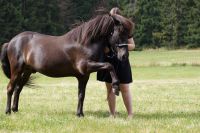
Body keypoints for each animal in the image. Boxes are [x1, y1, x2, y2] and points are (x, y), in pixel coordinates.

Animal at [0, 13, 134, 116]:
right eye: (120, 33)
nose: (124, 56)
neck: (84, 43)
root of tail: (11, 42)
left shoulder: (83, 76)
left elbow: (81, 94)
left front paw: (80, 114)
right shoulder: (86, 66)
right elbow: (109, 65)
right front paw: (116, 87)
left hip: (27, 71)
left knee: (18, 88)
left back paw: (15, 110)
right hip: (17, 70)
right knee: (10, 88)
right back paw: (8, 112)